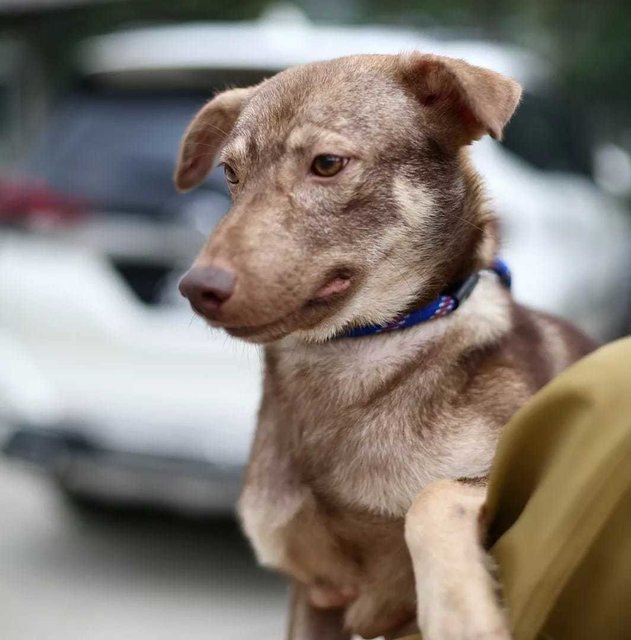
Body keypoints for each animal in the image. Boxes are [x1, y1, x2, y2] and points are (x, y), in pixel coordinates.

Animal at [174, 53, 596, 640]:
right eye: (230, 174)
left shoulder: (524, 482)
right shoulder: (317, 595)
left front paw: (461, 613)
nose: (196, 288)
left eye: (327, 164)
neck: (356, 352)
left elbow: (430, 498)